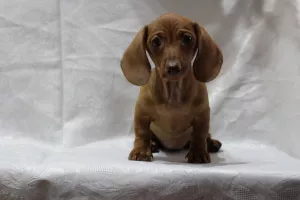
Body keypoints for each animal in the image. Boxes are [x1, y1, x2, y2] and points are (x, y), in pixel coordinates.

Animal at [120, 12, 223, 163]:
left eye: (187, 38)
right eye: (156, 41)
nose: (173, 67)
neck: (173, 94)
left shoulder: (202, 115)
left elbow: (199, 135)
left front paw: (198, 153)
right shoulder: (142, 113)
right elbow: (142, 133)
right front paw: (141, 151)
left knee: (205, 136)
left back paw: (211, 143)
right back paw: (152, 144)